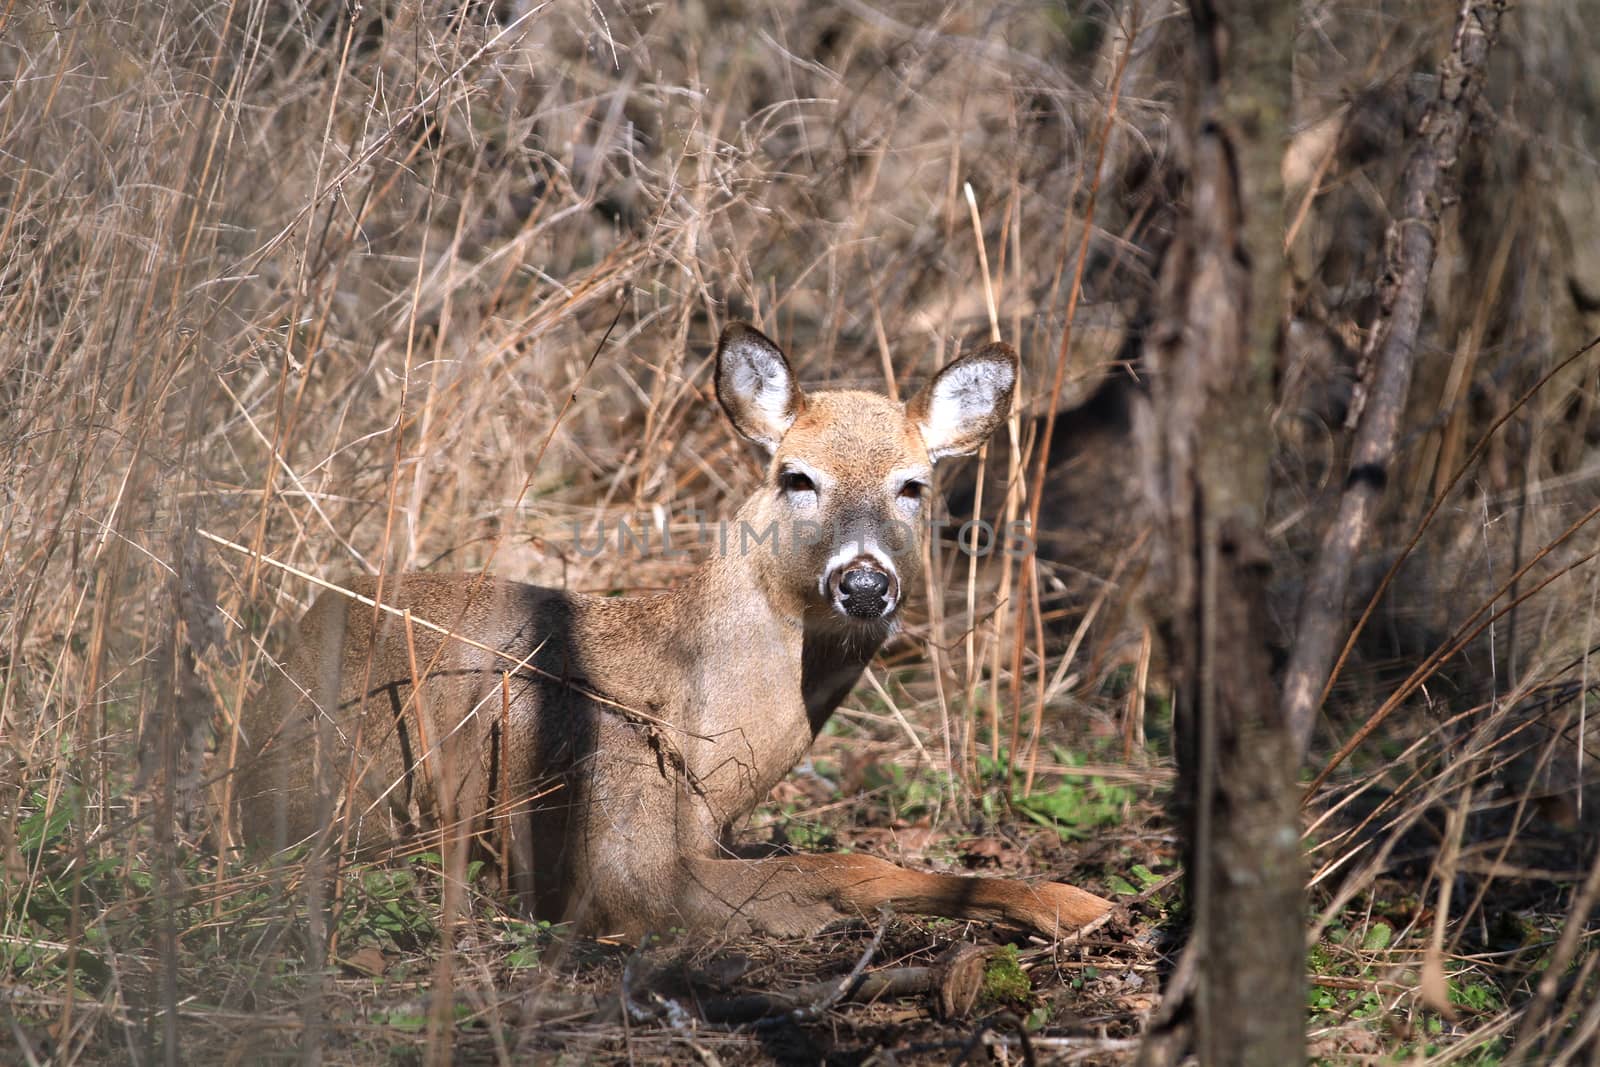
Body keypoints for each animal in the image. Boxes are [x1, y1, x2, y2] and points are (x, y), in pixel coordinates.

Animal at [240, 321, 1113, 940]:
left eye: (915, 485)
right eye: (796, 475)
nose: (864, 582)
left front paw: (1070, 901)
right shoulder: (620, 853)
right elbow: (843, 864)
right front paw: (1074, 904)